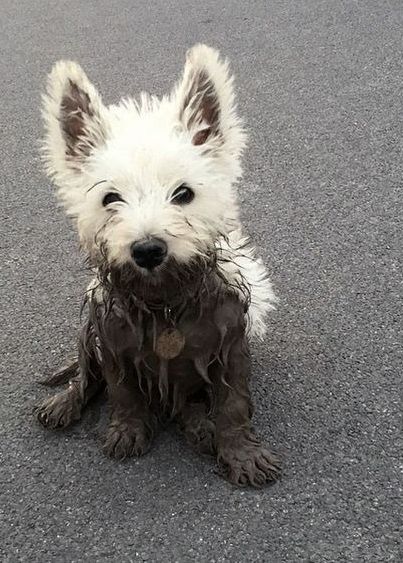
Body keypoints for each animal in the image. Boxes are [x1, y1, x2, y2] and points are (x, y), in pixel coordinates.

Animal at [36, 44, 280, 486]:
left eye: (183, 194)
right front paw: (127, 428)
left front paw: (241, 453)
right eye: (110, 198)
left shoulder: (232, 349)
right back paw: (65, 402)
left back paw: (200, 428)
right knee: (86, 376)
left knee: (188, 405)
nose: (148, 250)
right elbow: (122, 392)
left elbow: (233, 405)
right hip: (86, 334)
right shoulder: (111, 342)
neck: (164, 301)